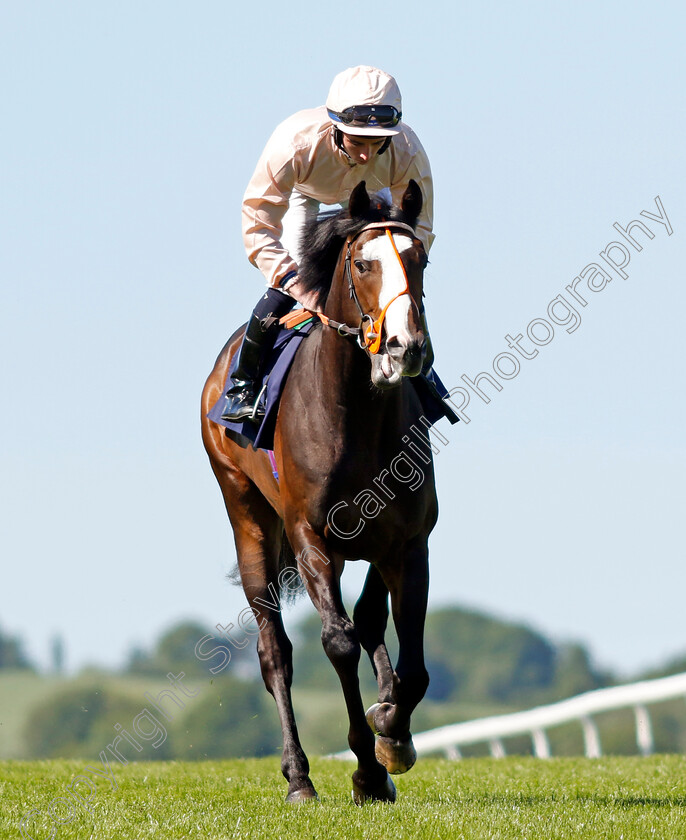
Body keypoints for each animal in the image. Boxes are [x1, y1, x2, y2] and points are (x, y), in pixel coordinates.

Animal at [202, 180, 440, 804]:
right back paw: (299, 776)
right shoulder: (312, 539)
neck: (355, 413)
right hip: (248, 517)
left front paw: (392, 735)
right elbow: (338, 643)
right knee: (275, 653)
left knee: (368, 621)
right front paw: (366, 767)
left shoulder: (407, 542)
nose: (406, 347)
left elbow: (409, 660)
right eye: (362, 263)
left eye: (420, 259)